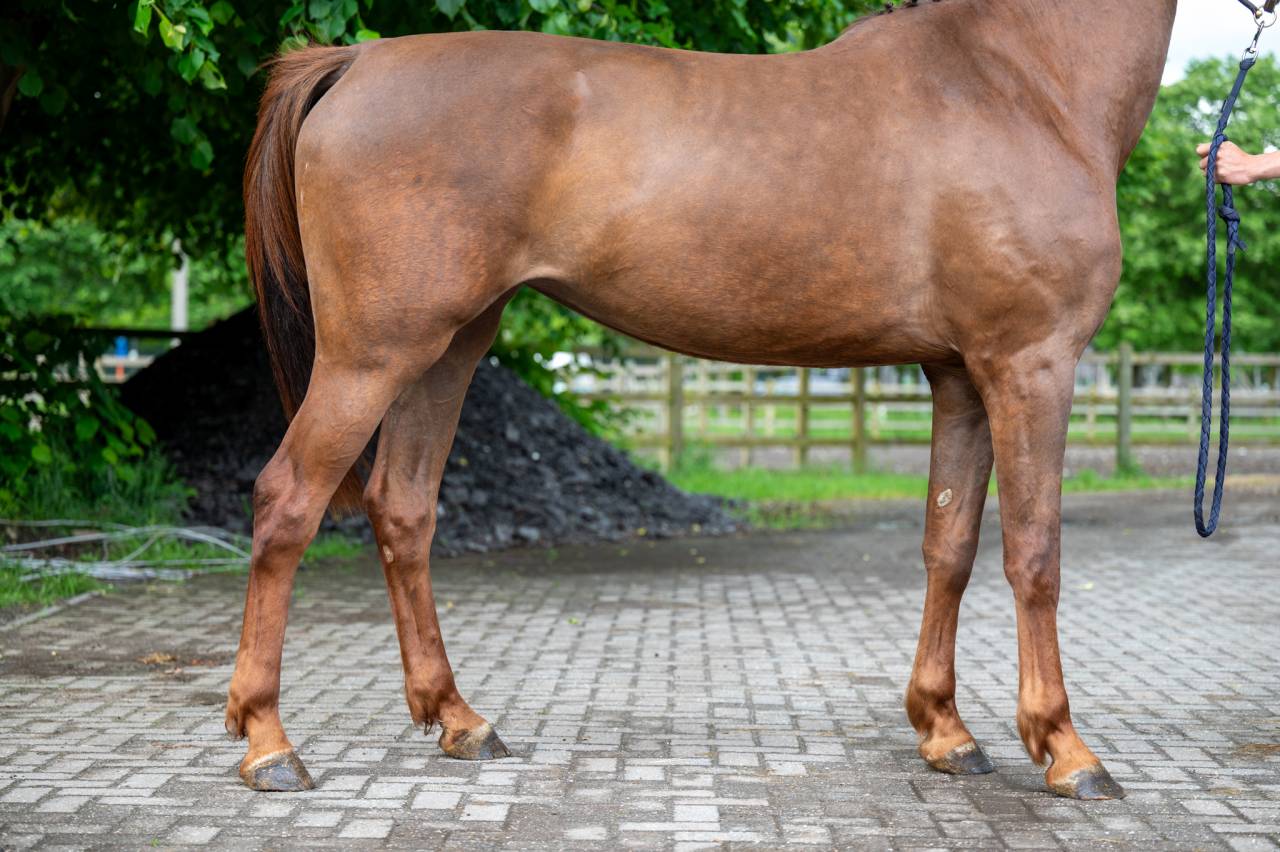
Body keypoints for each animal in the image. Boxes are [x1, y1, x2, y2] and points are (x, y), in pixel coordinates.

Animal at [227, 0, 1177, 800]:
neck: (1017, 78)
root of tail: (355, 60)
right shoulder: (1031, 364)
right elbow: (1036, 554)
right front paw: (1066, 749)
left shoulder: (960, 375)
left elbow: (951, 547)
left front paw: (946, 732)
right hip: (372, 355)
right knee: (287, 501)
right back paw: (270, 743)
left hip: (447, 348)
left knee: (403, 507)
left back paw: (460, 720)